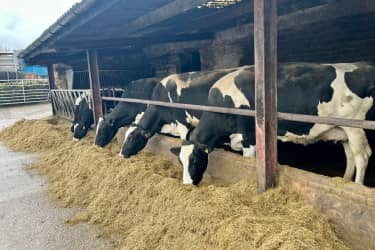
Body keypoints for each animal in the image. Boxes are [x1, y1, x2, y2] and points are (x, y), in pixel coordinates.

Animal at [178, 63, 375, 185]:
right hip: (343, 130)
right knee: (350, 155)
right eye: (180, 161)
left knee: (362, 156)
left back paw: (357, 185)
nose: (187, 184)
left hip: (355, 127)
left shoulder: (250, 138)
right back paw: (345, 181)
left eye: (194, 159)